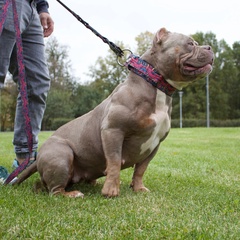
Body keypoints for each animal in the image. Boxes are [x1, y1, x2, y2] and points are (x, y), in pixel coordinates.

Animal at [15, 27, 214, 197]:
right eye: (190, 43)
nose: (210, 48)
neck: (155, 83)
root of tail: (37, 156)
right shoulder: (113, 130)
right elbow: (114, 161)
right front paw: (111, 190)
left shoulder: (155, 143)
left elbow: (141, 169)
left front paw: (138, 188)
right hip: (62, 155)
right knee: (54, 190)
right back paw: (72, 194)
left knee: (41, 185)